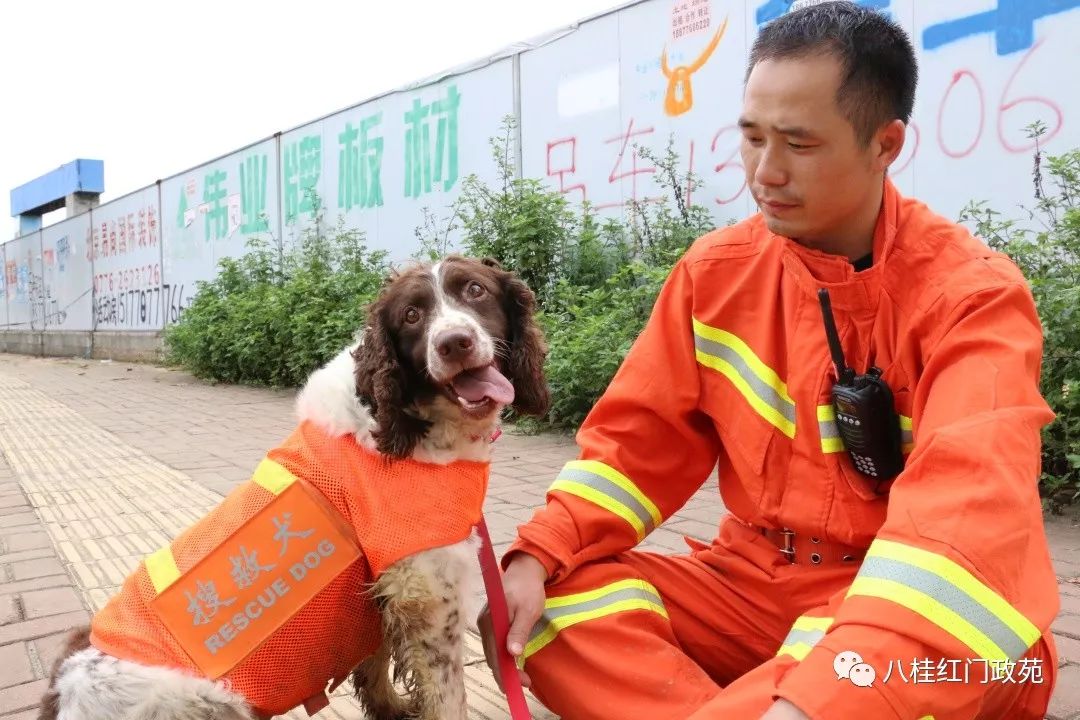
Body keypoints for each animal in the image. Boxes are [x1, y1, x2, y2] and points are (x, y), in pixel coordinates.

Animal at [39, 255, 548, 720]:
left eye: (475, 290)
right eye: (411, 315)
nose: (454, 343)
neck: (404, 423)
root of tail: (61, 696)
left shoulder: (382, 592)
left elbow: (375, 660)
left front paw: (390, 708)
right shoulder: (426, 588)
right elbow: (445, 694)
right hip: (213, 702)